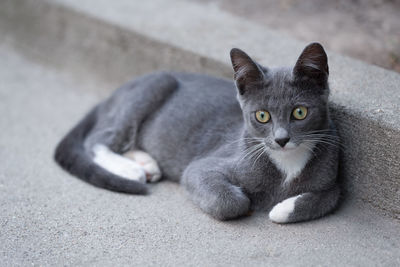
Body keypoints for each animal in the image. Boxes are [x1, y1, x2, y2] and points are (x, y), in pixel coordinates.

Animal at [54, 42, 340, 224]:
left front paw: (282, 208)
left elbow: (328, 198)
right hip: (154, 86)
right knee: (98, 139)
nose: (281, 139)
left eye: (300, 112)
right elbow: (229, 201)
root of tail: (111, 96)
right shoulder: (204, 167)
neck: (286, 163)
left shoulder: (332, 174)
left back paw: (146, 163)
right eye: (262, 116)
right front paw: (252, 202)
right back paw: (131, 169)